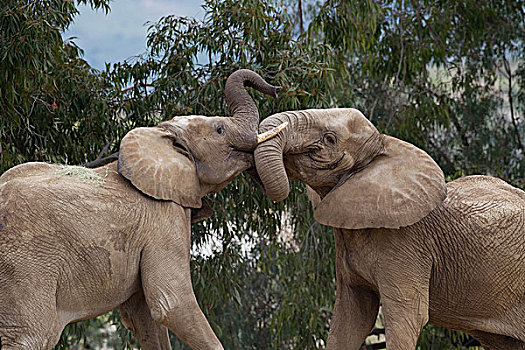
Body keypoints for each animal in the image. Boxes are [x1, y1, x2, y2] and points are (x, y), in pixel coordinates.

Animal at [0, 69, 286, 348]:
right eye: (219, 129)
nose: (276, 89)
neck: (161, 138)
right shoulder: (163, 220)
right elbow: (173, 303)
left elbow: (144, 317)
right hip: (26, 272)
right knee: (32, 335)